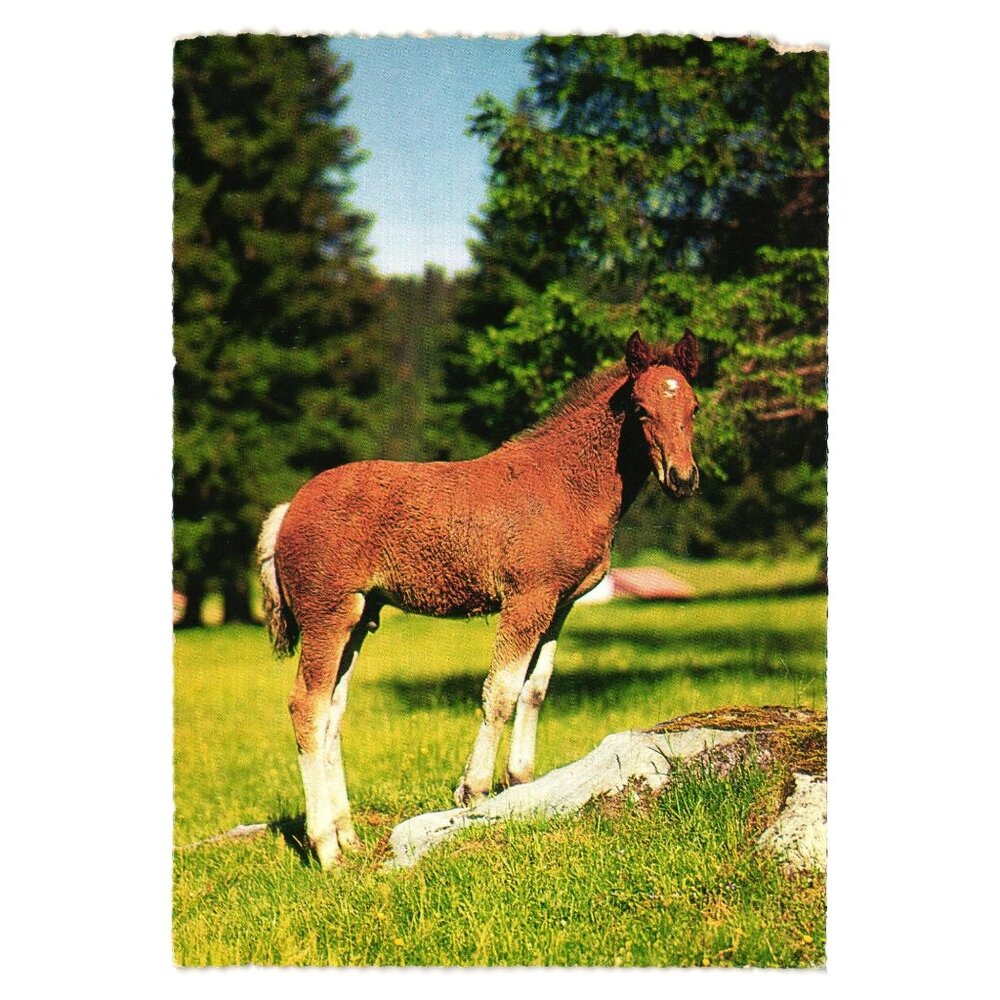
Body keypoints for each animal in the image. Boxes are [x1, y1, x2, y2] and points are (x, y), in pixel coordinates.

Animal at [257, 329, 700, 869]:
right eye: (639, 409)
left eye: (695, 406)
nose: (682, 478)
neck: (562, 483)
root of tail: (289, 508)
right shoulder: (526, 599)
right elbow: (501, 691)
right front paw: (474, 789)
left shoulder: (559, 606)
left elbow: (535, 689)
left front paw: (522, 782)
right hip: (327, 616)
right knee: (307, 707)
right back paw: (325, 848)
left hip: (358, 620)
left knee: (333, 714)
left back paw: (349, 838)